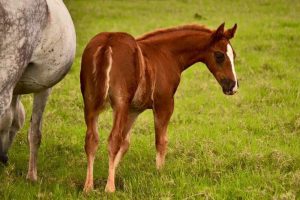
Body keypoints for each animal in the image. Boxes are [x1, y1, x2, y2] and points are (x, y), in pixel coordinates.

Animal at [80, 23, 239, 192]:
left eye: (234, 55)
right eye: (219, 55)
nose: (233, 86)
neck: (166, 53)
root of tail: (107, 44)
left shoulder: (133, 109)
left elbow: (125, 142)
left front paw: (111, 173)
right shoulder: (164, 104)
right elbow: (161, 141)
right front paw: (160, 173)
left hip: (90, 103)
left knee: (92, 140)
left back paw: (88, 187)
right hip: (119, 103)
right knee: (113, 140)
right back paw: (110, 189)